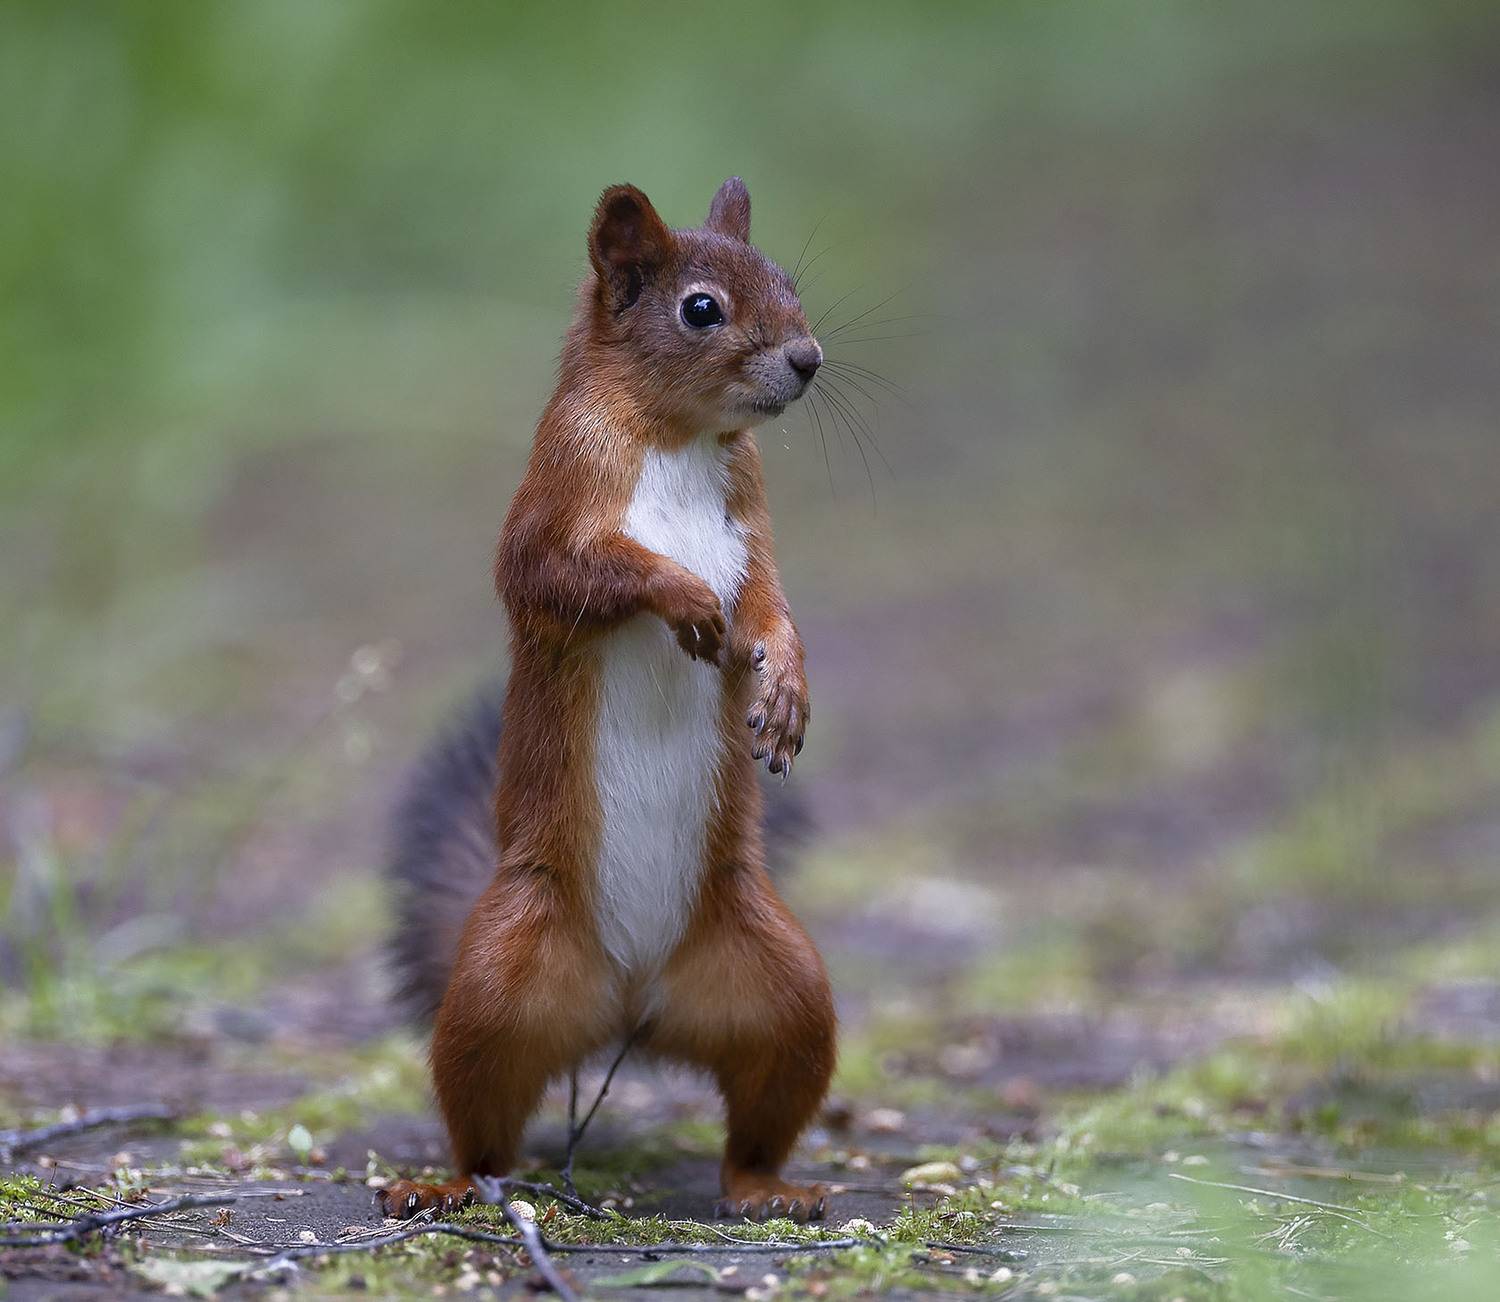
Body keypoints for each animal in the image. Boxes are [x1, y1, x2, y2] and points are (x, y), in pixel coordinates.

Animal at [381, 179, 837, 1223]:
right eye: (700, 308)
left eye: (789, 282)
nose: (807, 358)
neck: (680, 441)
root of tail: (629, 1002)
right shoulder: (552, 505)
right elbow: (568, 573)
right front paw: (682, 599)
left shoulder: (752, 525)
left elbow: (771, 607)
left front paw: (786, 688)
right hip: (497, 985)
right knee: (483, 1124)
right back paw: (445, 1182)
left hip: (786, 995)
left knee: (759, 1119)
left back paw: (771, 1188)